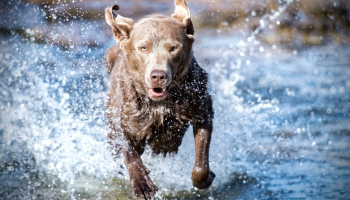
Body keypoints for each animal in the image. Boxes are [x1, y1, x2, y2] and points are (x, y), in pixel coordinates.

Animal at [102, 1, 215, 198]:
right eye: (143, 47)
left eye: (173, 48)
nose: (158, 76)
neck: (160, 104)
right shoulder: (125, 119)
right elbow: (129, 151)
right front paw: (142, 184)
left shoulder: (202, 109)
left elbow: (201, 165)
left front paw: (207, 177)